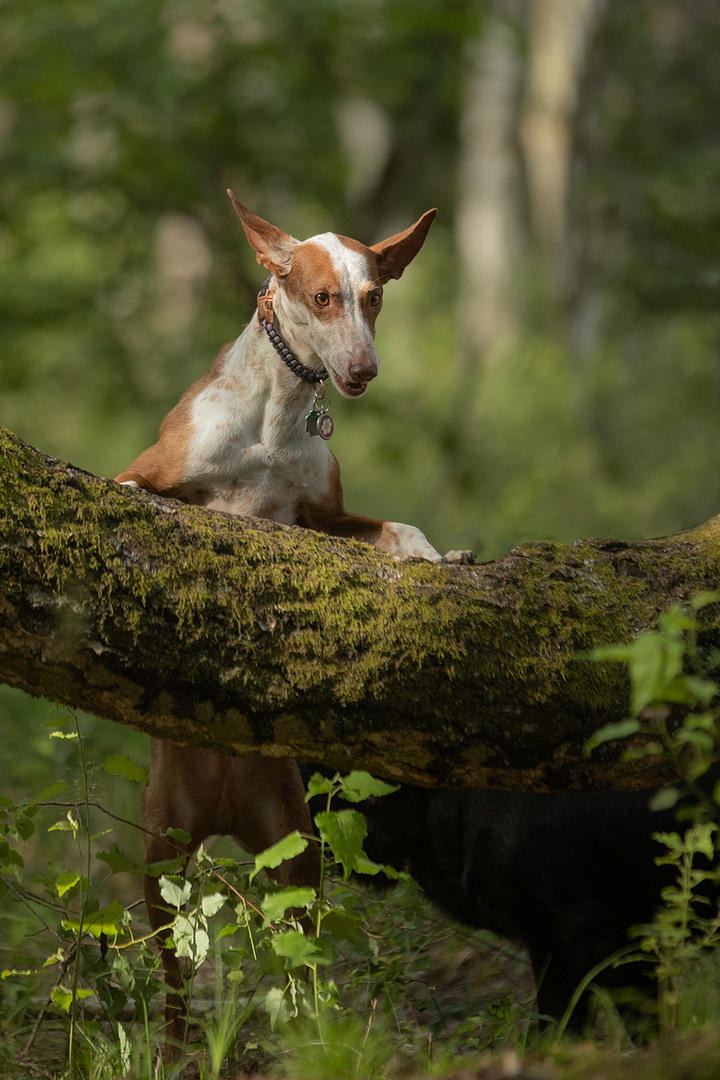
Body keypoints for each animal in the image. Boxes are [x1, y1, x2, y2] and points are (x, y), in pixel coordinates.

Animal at [115, 192, 468, 1054]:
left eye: (374, 297)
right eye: (321, 298)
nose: (365, 370)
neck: (277, 417)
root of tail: (223, 804)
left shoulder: (325, 522)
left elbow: (400, 532)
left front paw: (440, 558)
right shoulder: (142, 472)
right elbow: (140, 497)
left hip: (297, 860)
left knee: (301, 963)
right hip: (159, 864)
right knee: (171, 985)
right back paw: (174, 1047)